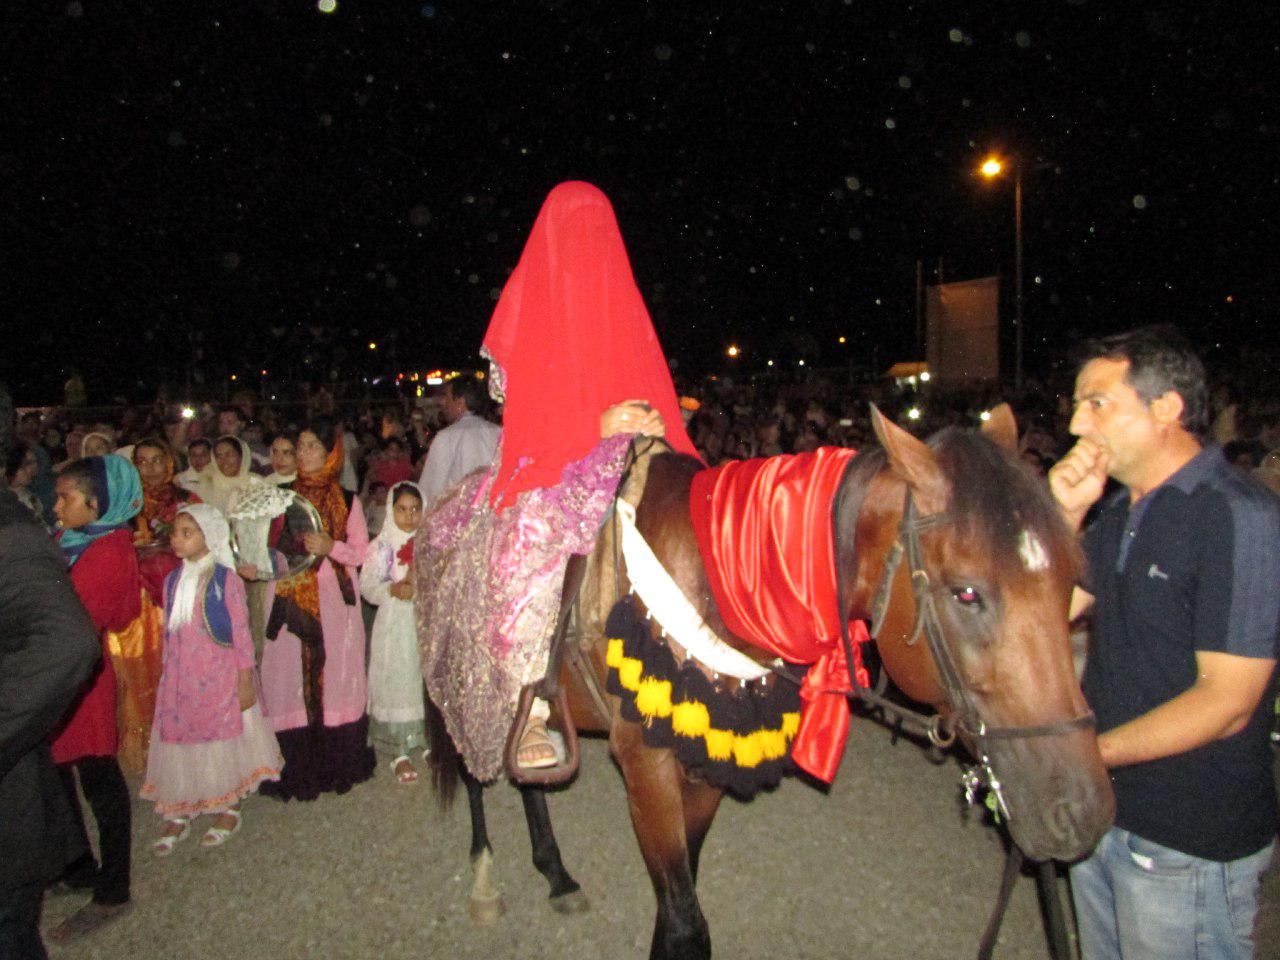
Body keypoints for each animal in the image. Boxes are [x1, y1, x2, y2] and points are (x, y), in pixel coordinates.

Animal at [424, 407, 1116, 960]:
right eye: (967, 593)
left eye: (1071, 585)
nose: (1082, 811)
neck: (708, 584)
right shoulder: (646, 768)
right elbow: (686, 923)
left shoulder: (702, 763)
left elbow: (681, 905)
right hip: (460, 681)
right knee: (474, 771)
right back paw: (487, 875)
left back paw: (557, 872)